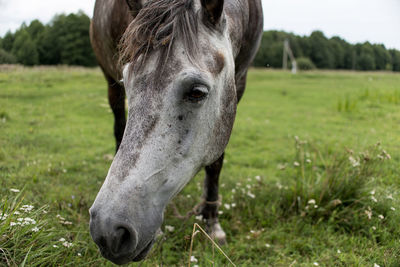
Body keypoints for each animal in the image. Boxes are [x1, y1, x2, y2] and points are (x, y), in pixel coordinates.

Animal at [89, 0, 264, 264]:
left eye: (197, 92)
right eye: (127, 82)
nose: (109, 231)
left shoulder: (238, 85)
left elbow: (216, 162)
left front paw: (211, 221)